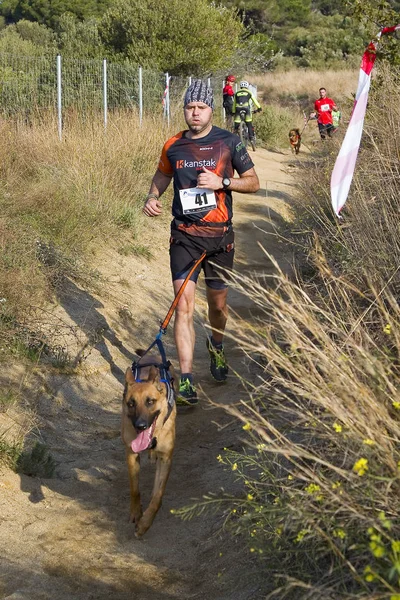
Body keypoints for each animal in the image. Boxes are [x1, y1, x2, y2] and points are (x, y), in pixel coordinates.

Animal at [122, 350, 177, 536]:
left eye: (150, 402)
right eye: (131, 403)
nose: (140, 425)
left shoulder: (166, 459)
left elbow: (157, 496)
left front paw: (145, 522)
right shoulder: (131, 454)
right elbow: (134, 489)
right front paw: (136, 513)